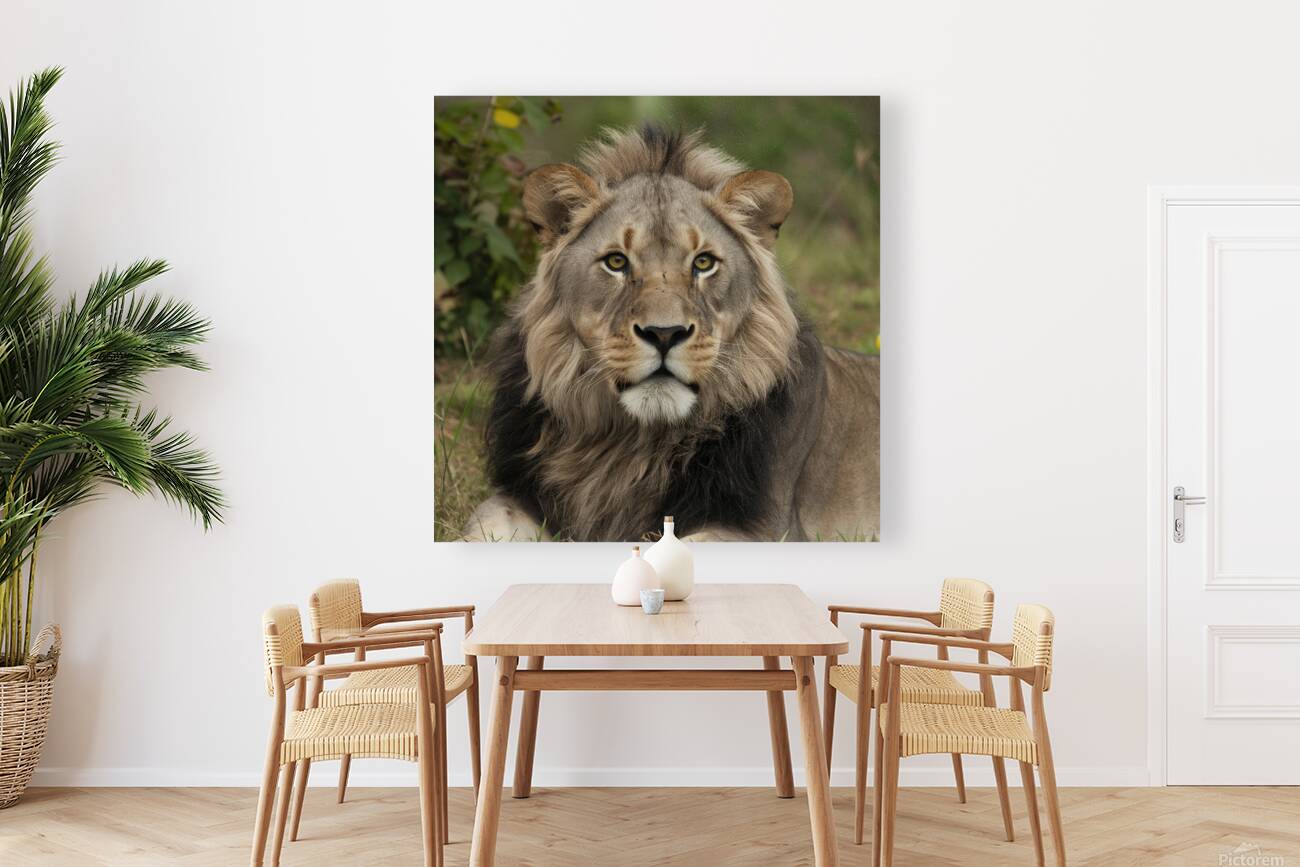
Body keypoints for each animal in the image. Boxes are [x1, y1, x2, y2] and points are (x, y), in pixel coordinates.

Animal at [461, 126, 879, 542]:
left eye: (704, 262)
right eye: (616, 261)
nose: (665, 334)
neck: (631, 446)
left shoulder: (768, 527)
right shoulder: (516, 496)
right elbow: (482, 528)